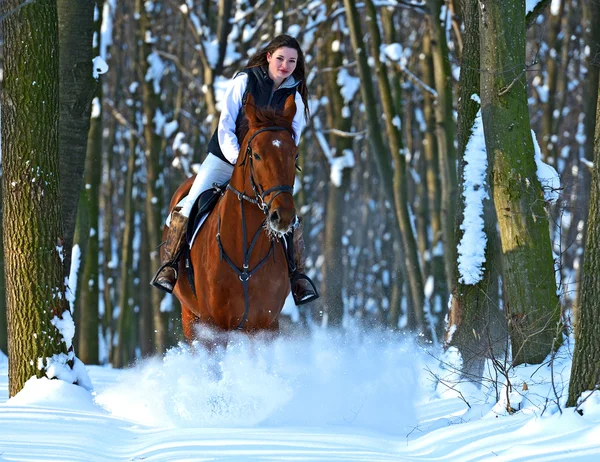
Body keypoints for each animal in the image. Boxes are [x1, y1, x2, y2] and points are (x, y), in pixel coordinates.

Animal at [165, 94, 298, 342]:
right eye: (256, 154)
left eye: (294, 154)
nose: (283, 216)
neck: (245, 255)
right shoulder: (212, 327)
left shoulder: (266, 326)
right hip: (190, 315)